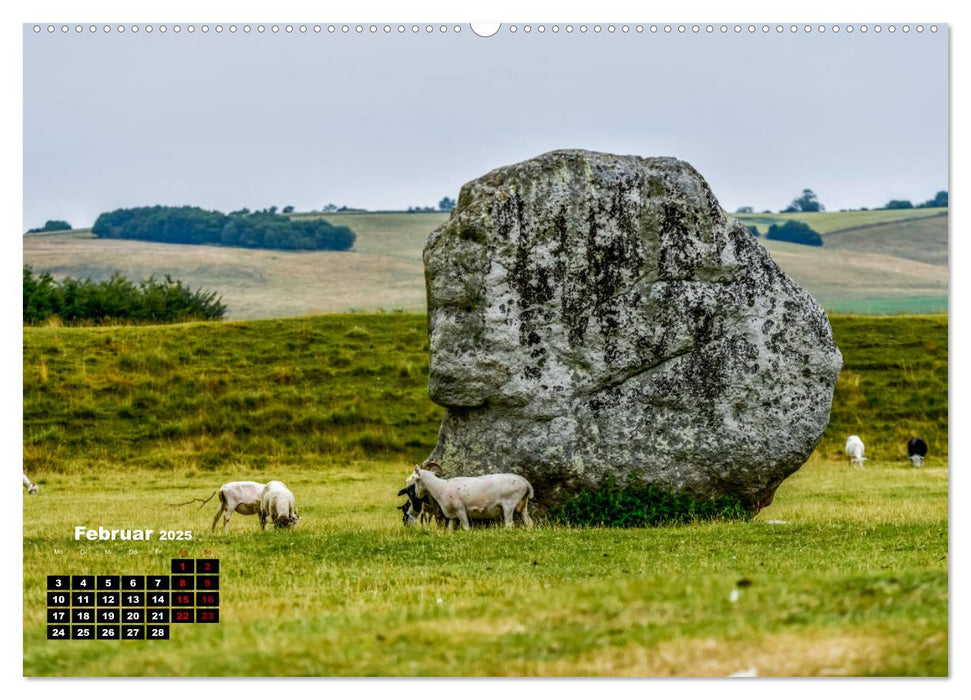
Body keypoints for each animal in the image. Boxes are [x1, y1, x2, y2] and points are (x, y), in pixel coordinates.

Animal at [406, 464, 536, 532]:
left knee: (509, 524)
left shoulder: (460, 510)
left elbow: (466, 528)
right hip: (522, 504)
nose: (417, 495)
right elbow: (450, 529)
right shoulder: (452, 515)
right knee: (529, 522)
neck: (441, 487)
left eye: (415, 480)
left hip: (509, 504)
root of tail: (525, 482)